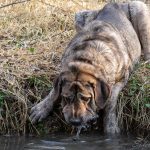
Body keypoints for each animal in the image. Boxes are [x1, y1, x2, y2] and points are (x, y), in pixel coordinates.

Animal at [29, 0, 150, 135]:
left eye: (86, 98)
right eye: (66, 98)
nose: (75, 121)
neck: (86, 59)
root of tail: (114, 3)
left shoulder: (122, 78)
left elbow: (110, 102)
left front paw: (111, 126)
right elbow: (53, 92)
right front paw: (41, 108)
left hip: (140, 10)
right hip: (79, 16)